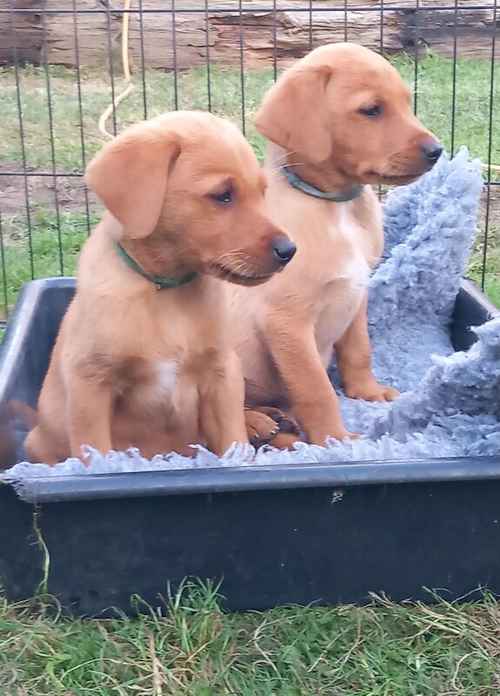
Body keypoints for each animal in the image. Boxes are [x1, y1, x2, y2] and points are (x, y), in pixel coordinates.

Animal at [24, 111, 296, 464]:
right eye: (223, 195)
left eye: (263, 192)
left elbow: (232, 441)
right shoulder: (90, 384)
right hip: (39, 441)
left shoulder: (222, 371)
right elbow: (95, 453)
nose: (288, 250)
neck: (165, 291)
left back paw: (263, 421)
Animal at [230, 44, 442, 446]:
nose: (437, 150)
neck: (337, 208)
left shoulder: (357, 292)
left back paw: (275, 420)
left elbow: (359, 350)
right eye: (371, 109)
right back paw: (259, 425)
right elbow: (317, 390)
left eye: (406, 103)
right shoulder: (287, 320)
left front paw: (367, 391)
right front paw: (334, 438)